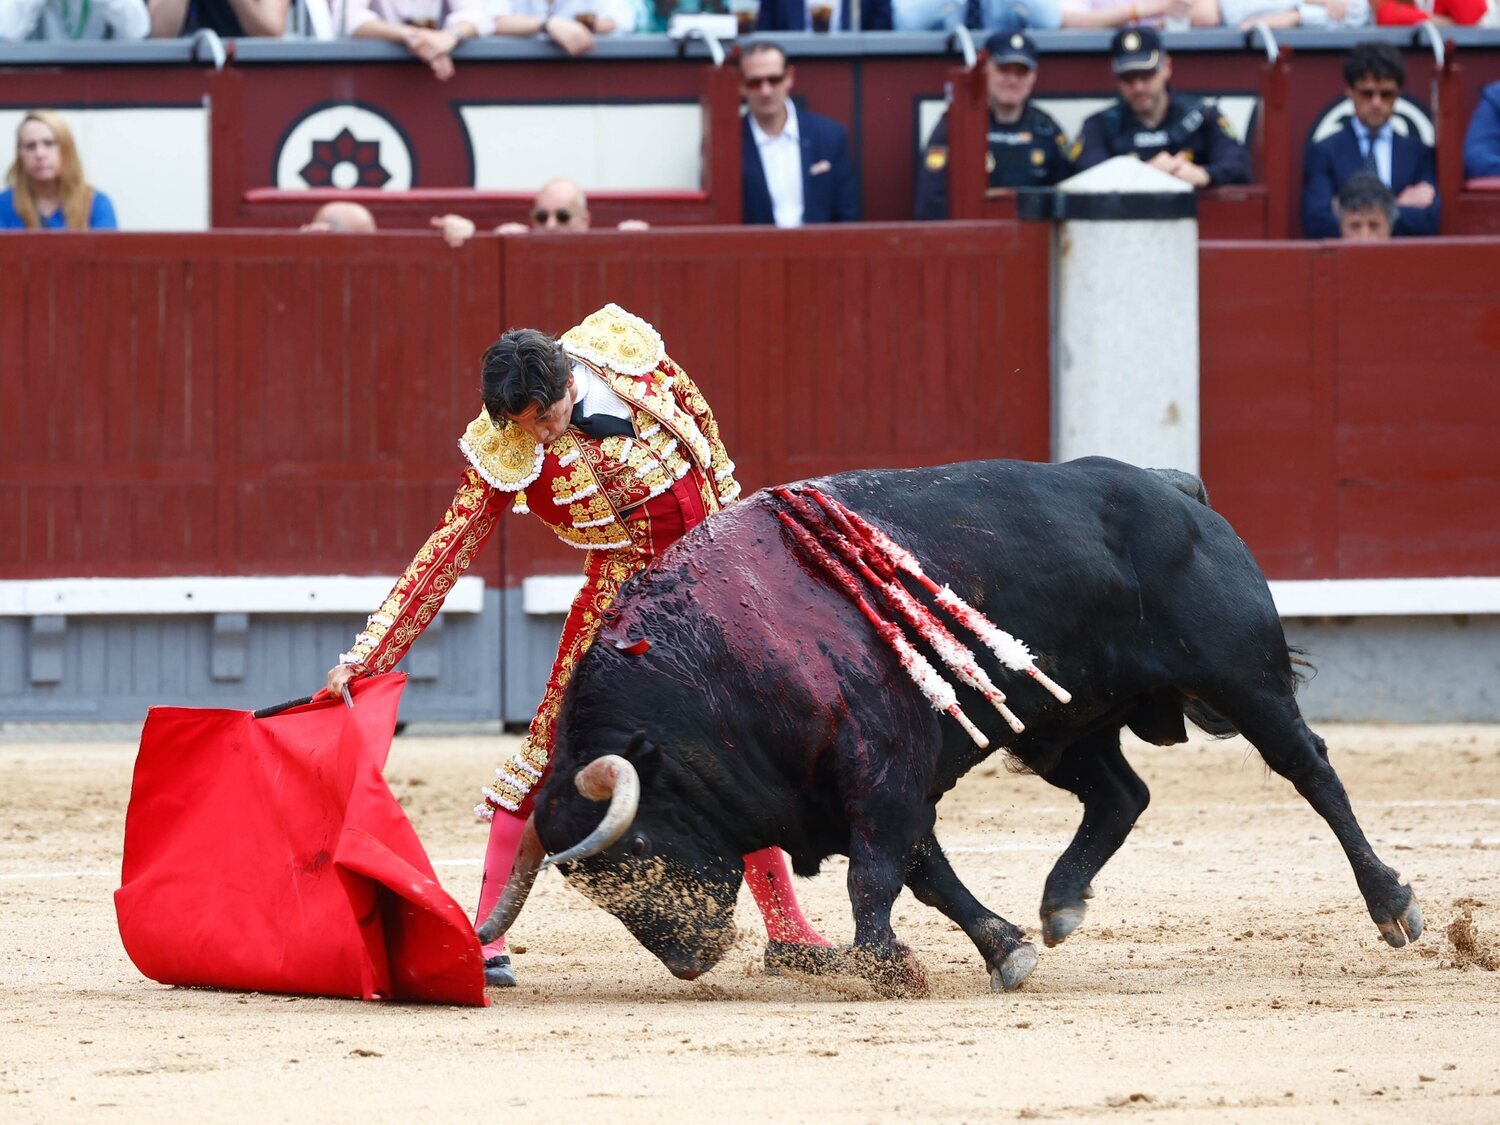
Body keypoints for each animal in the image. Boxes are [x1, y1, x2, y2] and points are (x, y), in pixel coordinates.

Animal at [486, 459, 1422, 996]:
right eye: (590, 885)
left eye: (637, 848)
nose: (689, 958)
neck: (718, 665)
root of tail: (1173, 487)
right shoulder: (859, 791)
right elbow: (924, 870)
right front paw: (1004, 947)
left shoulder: (883, 772)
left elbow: (877, 873)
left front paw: (885, 966)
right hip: (1062, 721)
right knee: (1121, 793)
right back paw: (1060, 902)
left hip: (1240, 673)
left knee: (1312, 771)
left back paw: (1394, 905)